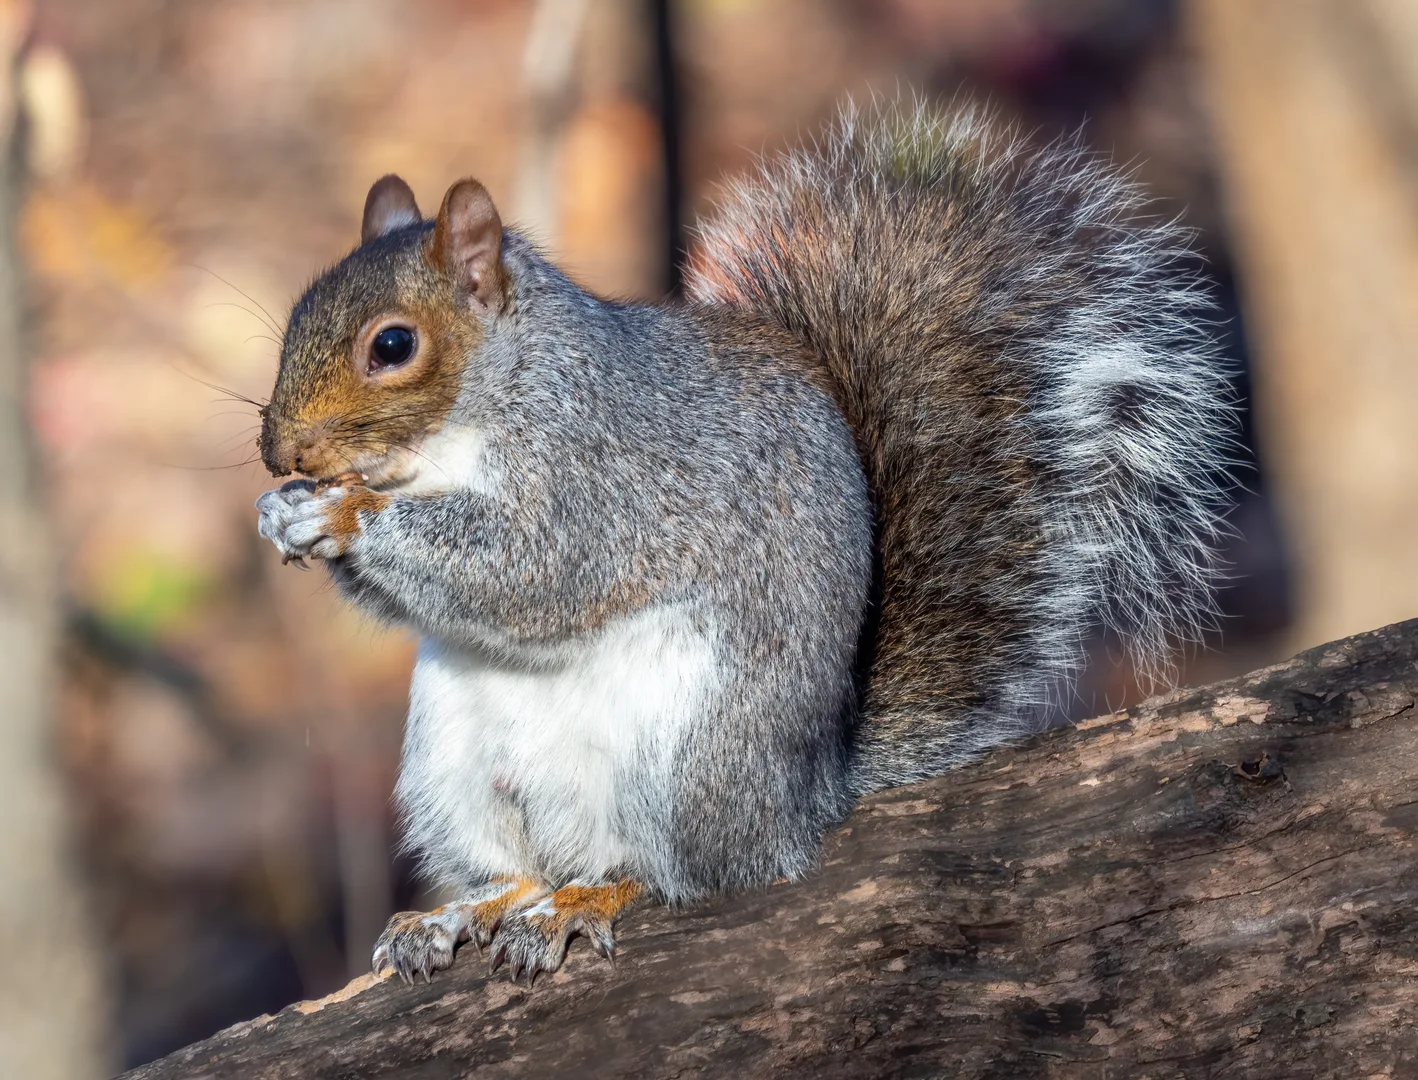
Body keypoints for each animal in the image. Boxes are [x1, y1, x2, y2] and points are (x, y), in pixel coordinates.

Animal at [255, 102, 1233, 983]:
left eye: (393, 345)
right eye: (295, 313)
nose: (280, 453)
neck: (474, 413)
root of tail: (808, 796)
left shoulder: (595, 476)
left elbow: (532, 568)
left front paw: (342, 515)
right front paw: (282, 512)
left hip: (684, 754)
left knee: (674, 871)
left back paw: (584, 902)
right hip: (448, 765)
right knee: (515, 865)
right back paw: (464, 910)